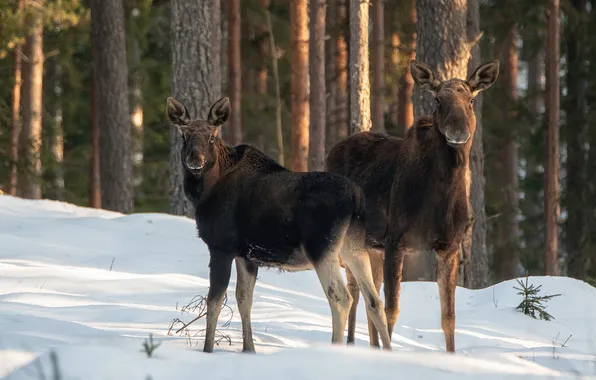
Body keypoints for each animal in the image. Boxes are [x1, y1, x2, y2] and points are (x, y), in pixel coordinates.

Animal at [326, 58, 498, 352]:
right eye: (438, 100)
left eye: (472, 100)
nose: (458, 131)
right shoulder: (396, 241)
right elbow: (392, 310)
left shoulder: (449, 247)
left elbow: (448, 317)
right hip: (350, 239)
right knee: (355, 292)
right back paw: (348, 343)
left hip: (373, 246)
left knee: (369, 297)